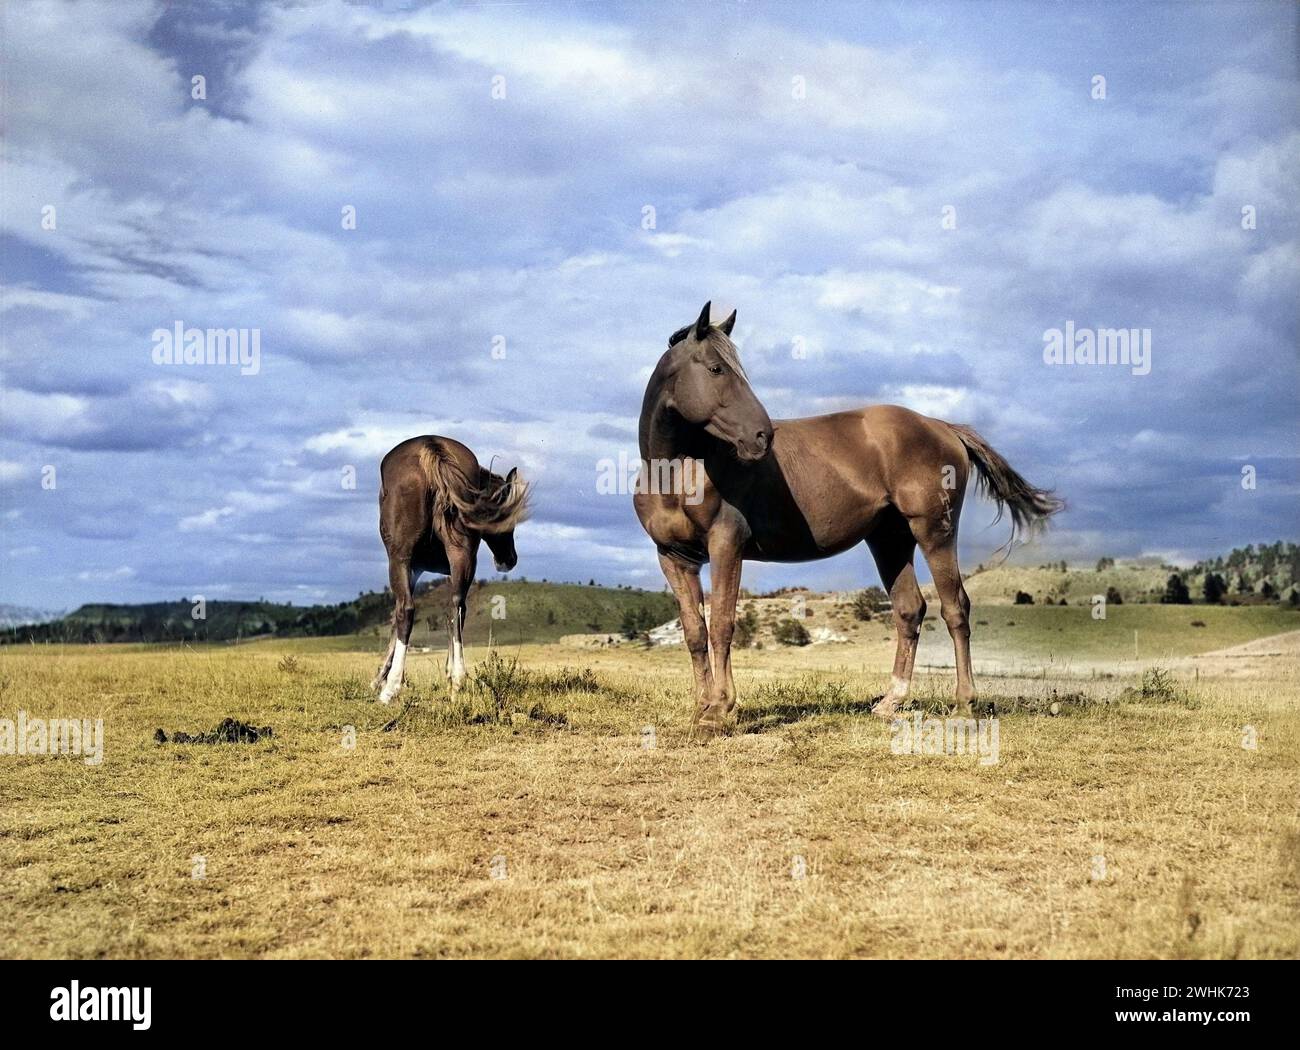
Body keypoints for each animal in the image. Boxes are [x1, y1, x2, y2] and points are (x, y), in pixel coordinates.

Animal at [374, 436, 530, 706]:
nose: (509, 560)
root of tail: (433, 450)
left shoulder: (412, 568)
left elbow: (397, 616)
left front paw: (380, 680)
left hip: (400, 558)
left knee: (407, 610)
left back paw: (391, 688)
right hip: (462, 554)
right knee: (456, 606)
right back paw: (457, 680)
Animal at [631, 301, 1066, 727]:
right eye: (716, 369)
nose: (762, 435)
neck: (677, 473)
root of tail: (942, 426)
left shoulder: (726, 545)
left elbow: (722, 624)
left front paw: (720, 711)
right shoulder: (675, 558)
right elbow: (694, 632)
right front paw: (703, 707)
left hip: (933, 532)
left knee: (955, 608)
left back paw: (964, 703)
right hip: (890, 540)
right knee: (910, 610)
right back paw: (891, 702)